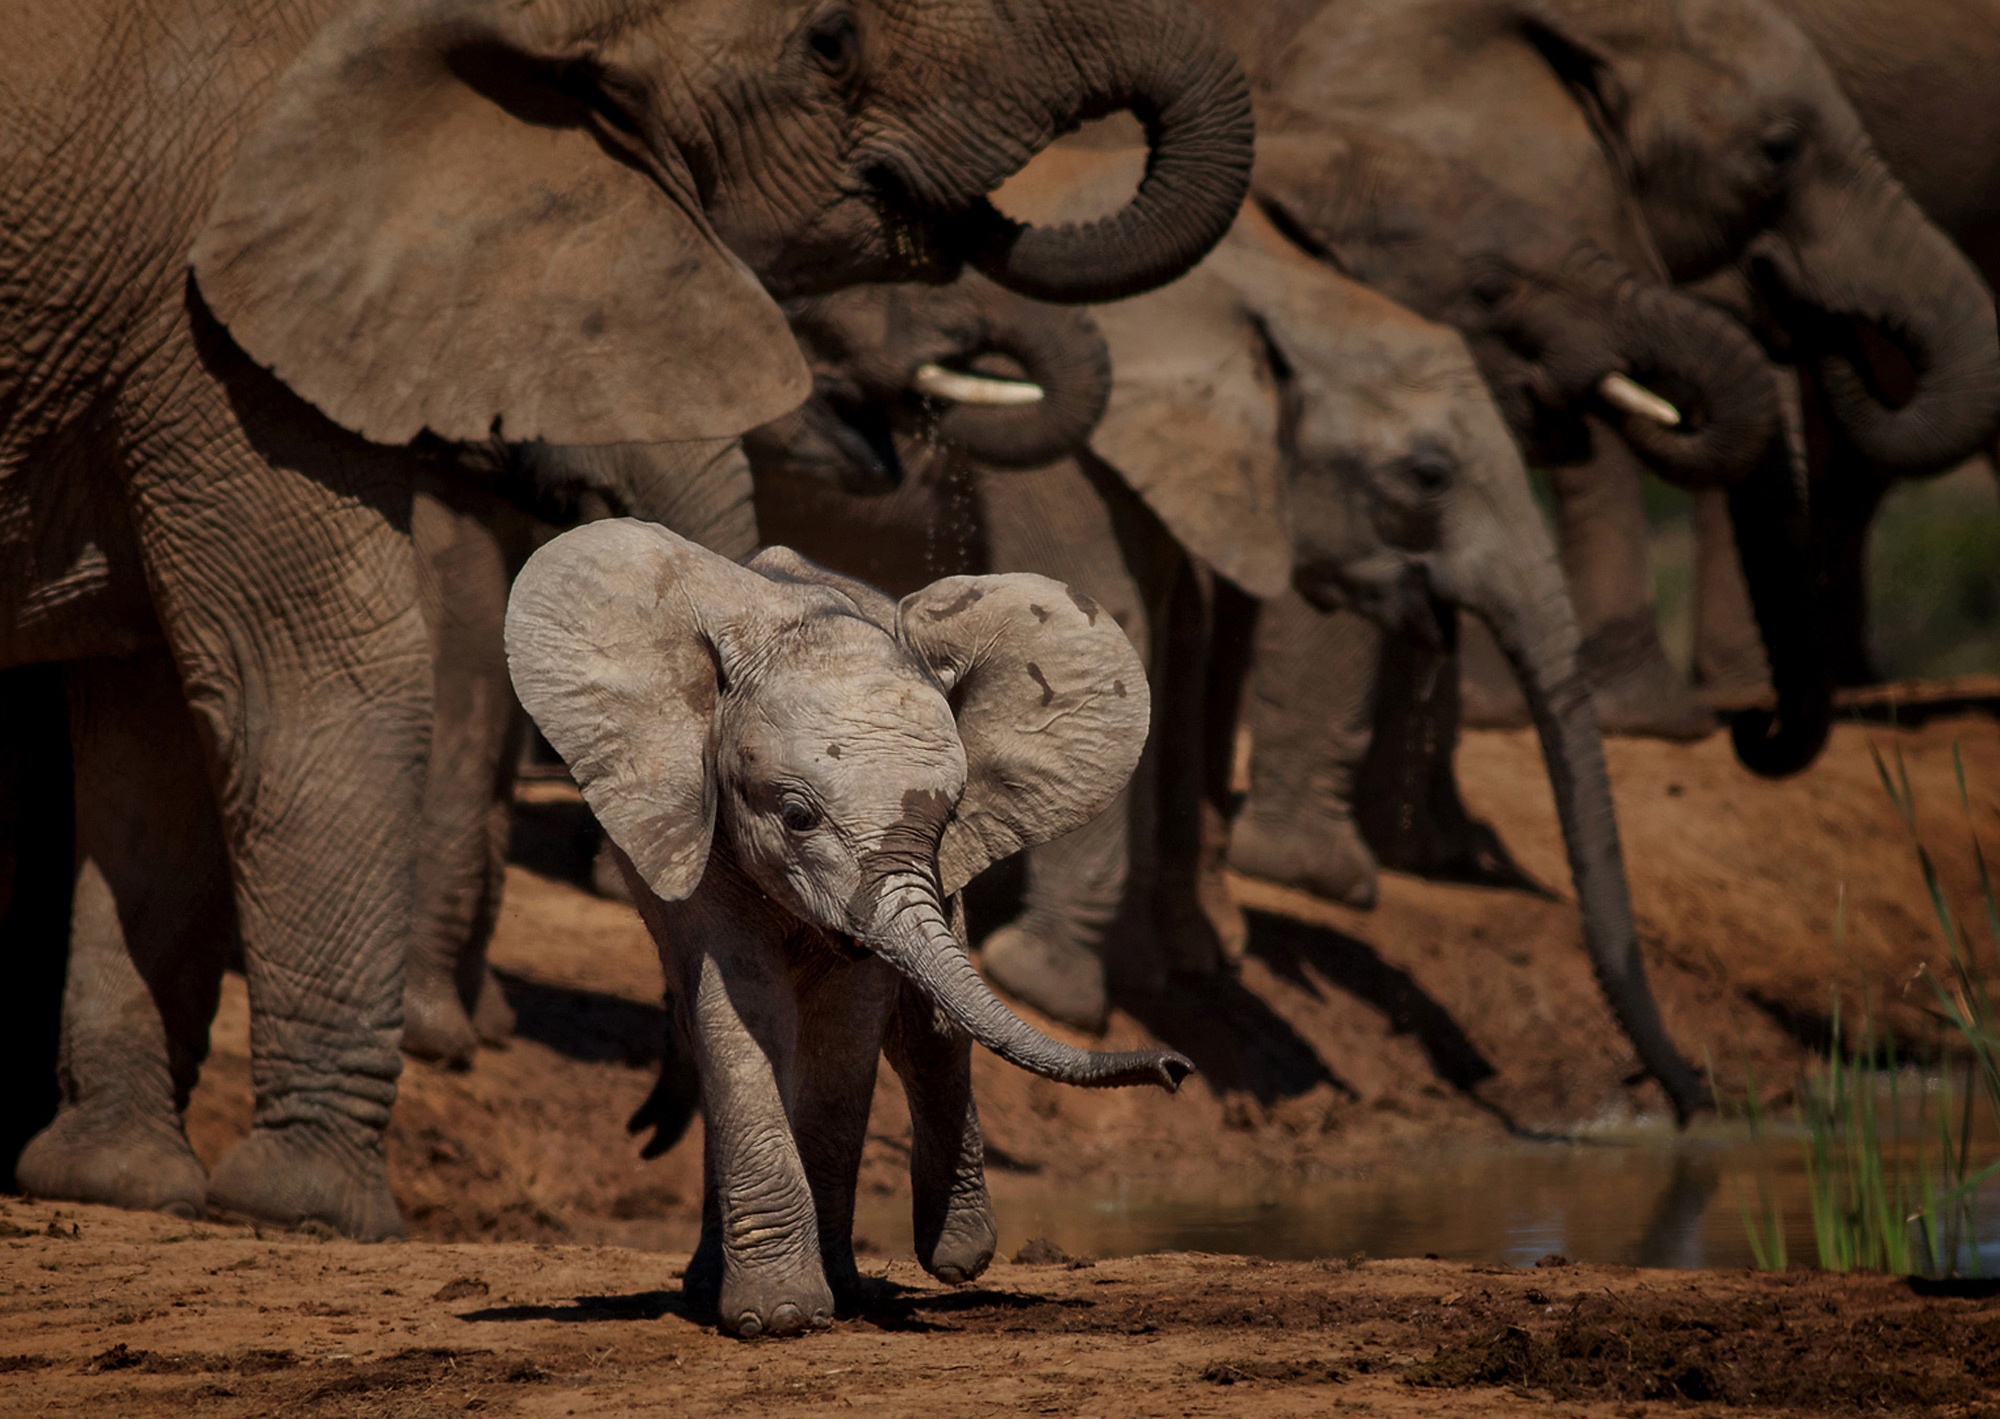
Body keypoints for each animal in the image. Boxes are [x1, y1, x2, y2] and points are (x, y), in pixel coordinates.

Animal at [0, 0, 1248, 1239]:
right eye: (830, 40)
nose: (1178, 1071)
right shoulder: (202, 337)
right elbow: (320, 679)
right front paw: (309, 1208)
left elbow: (152, 723)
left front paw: (116, 1182)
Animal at [508, 519, 1184, 1335]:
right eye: (797, 816)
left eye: (948, 817)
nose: (1176, 1067)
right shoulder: (700, 822)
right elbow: (740, 1006)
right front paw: (779, 1317)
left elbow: (851, 1024)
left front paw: (823, 1295)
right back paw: (708, 1290)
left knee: (930, 1027)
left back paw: (958, 1258)